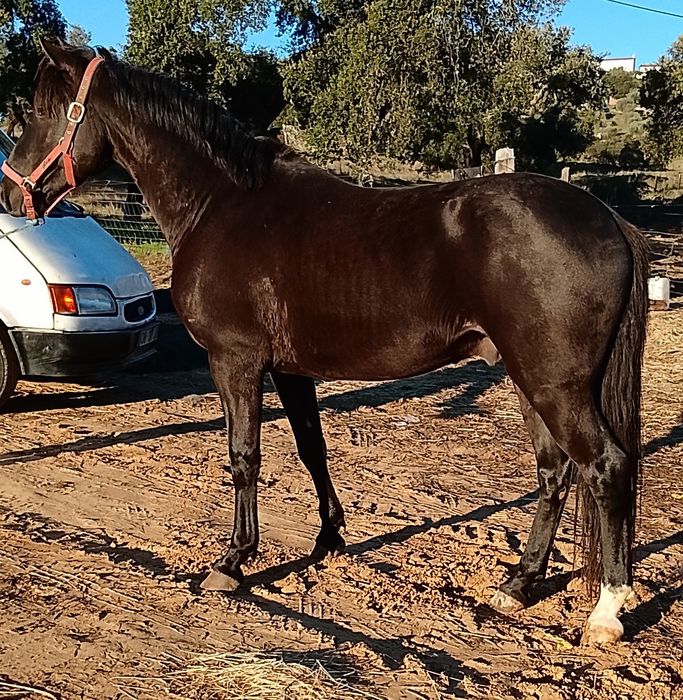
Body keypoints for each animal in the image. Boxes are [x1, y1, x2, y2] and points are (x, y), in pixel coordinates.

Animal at [0, 39, 649, 645]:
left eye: (42, 111)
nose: (10, 196)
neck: (222, 204)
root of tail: (609, 219)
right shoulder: (291, 370)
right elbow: (312, 449)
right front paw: (328, 538)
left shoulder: (236, 361)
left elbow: (244, 456)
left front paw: (233, 562)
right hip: (528, 380)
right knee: (555, 472)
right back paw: (519, 584)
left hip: (555, 385)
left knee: (605, 466)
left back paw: (606, 613)